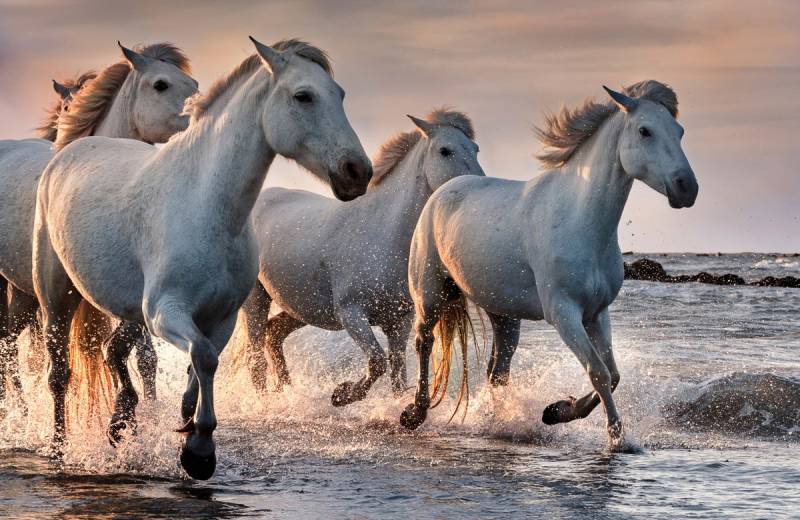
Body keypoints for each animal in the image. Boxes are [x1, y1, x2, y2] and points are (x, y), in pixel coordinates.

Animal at [36, 37, 374, 480]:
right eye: (304, 95)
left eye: (339, 94)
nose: (357, 171)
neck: (206, 207)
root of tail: (69, 150)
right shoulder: (166, 312)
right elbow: (203, 356)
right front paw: (199, 449)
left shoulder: (222, 316)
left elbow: (202, 361)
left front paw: (186, 420)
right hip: (56, 297)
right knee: (59, 373)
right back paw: (60, 448)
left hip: (127, 310)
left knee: (114, 352)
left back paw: (121, 424)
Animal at [238, 108, 484, 402]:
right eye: (445, 150)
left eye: (475, 148)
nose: (475, 184)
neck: (384, 234)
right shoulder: (352, 314)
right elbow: (377, 361)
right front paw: (342, 395)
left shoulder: (399, 322)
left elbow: (397, 374)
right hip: (256, 299)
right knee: (255, 359)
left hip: (300, 306)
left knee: (273, 335)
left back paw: (286, 392)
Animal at [404, 82, 696, 450]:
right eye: (645, 131)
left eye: (680, 131)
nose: (687, 188)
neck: (580, 221)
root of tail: (443, 190)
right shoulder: (564, 313)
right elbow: (598, 371)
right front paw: (615, 437)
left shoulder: (597, 313)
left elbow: (612, 374)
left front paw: (556, 411)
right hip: (430, 295)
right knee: (424, 341)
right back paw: (414, 413)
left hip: (503, 313)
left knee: (497, 370)